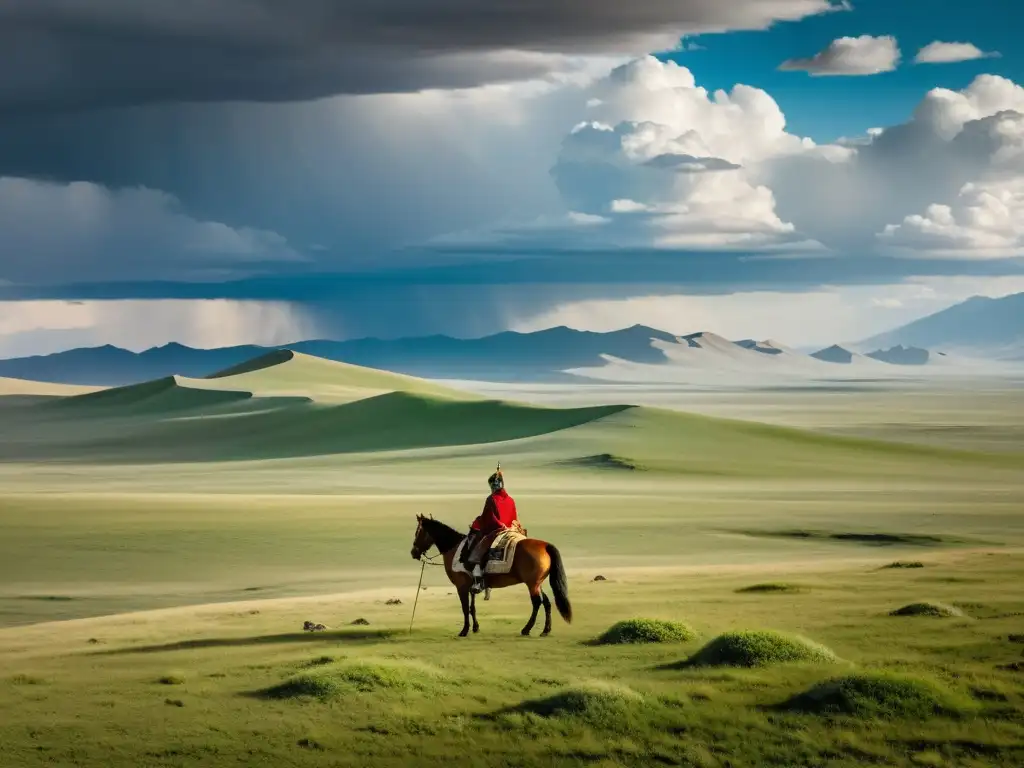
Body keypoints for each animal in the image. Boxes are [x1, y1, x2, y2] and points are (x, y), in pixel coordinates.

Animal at [407, 518, 573, 638]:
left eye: (417, 532)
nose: (413, 552)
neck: (454, 548)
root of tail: (545, 545)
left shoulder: (461, 587)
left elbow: (465, 608)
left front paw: (464, 631)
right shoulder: (471, 586)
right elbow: (472, 607)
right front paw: (475, 628)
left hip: (531, 584)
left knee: (537, 602)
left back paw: (526, 629)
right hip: (537, 583)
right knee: (547, 602)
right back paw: (545, 630)